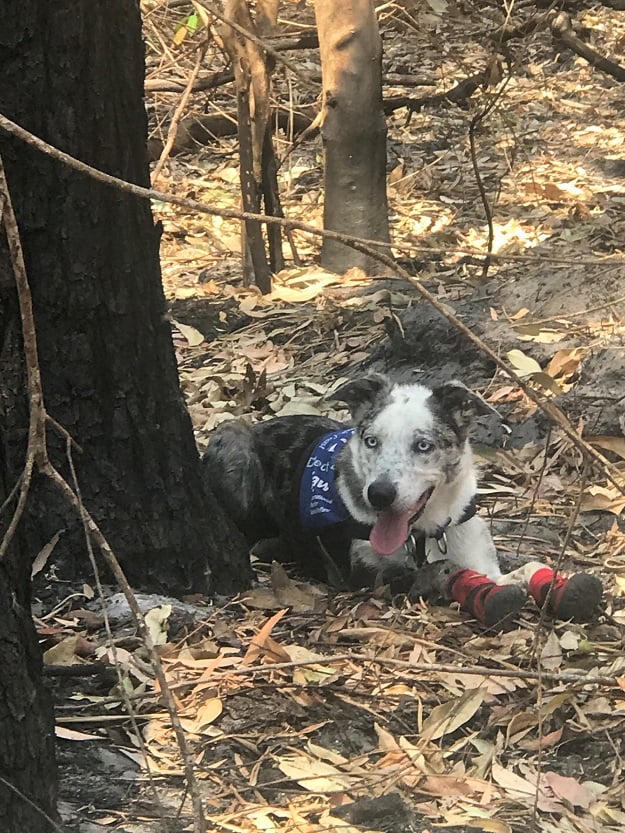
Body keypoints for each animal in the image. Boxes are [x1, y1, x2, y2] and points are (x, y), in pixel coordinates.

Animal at [204, 376, 600, 624]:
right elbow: (433, 573)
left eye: (423, 445)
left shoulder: (479, 554)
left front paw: (561, 585)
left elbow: (525, 566)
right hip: (234, 438)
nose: (379, 495)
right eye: (371, 441)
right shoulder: (365, 577)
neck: (426, 531)